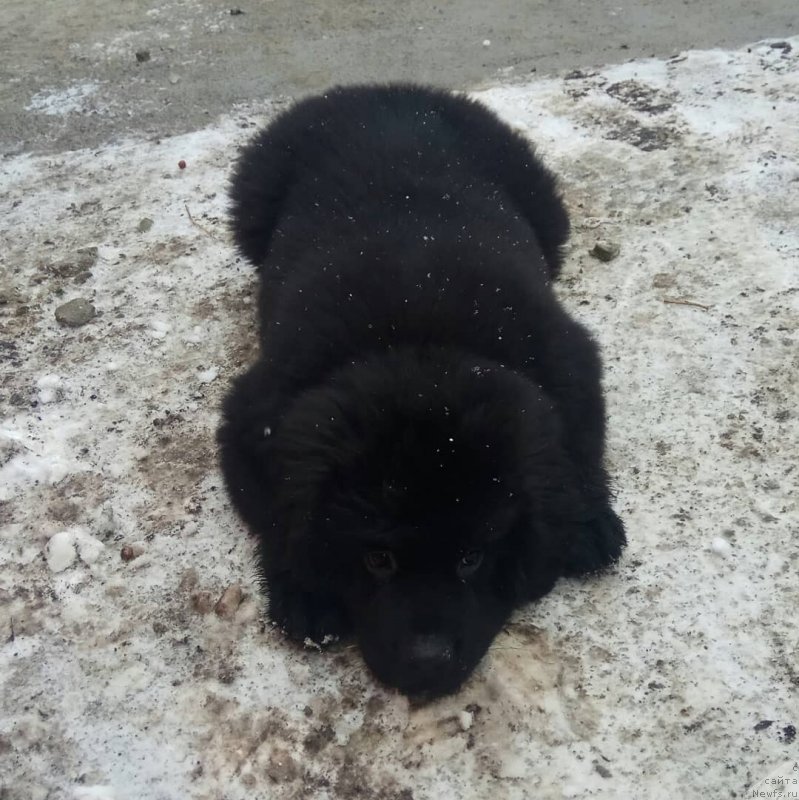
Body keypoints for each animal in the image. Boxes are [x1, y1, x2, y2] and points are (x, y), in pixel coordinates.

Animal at [219, 81, 624, 692]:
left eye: (472, 558)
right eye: (377, 560)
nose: (428, 664)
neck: (418, 333)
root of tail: (382, 90)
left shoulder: (568, 358)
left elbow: (582, 442)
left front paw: (589, 521)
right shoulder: (251, 416)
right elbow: (274, 511)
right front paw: (303, 591)